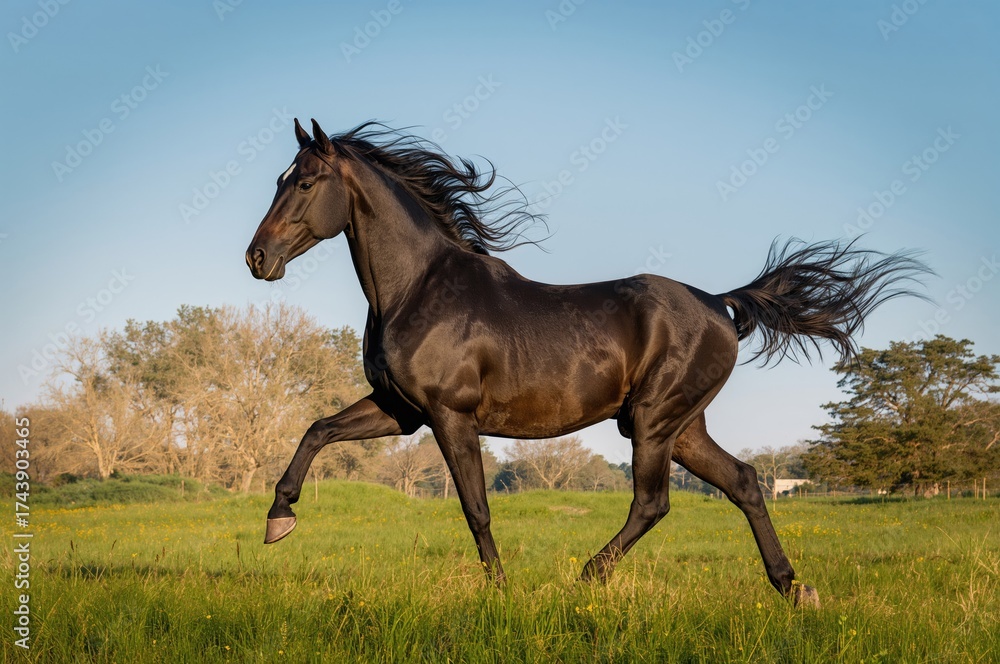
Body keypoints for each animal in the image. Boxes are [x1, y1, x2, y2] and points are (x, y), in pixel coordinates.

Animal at [246, 119, 928, 606]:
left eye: (303, 183)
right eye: (277, 179)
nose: (257, 258)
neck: (418, 288)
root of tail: (719, 302)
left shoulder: (449, 416)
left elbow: (476, 507)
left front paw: (501, 591)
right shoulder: (400, 409)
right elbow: (318, 430)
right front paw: (279, 519)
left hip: (653, 421)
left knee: (654, 503)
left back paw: (586, 577)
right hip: (681, 427)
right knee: (744, 482)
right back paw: (792, 588)